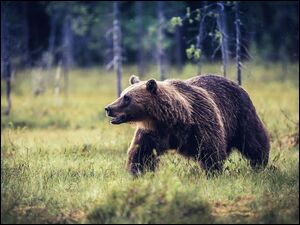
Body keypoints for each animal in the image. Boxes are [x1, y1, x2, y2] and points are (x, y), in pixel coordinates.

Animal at [105, 74, 270, 177]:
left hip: (241, 115)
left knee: (254, 141)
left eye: (127, 98)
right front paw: (136, 172)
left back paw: (260, 163)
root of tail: (237, 84)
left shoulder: (201, 122)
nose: (108, 108)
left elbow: (211, 151)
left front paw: (212, 173)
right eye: (122, 94)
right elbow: (141, 153)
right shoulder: (152, 132)